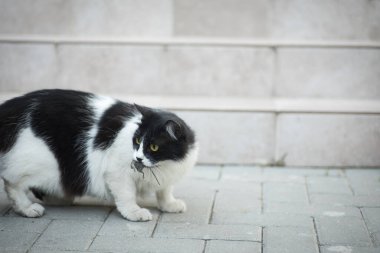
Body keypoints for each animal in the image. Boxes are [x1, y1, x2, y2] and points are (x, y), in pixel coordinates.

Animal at [0, 89, 200, 221]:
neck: (162, 165)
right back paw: (27, 208)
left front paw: (169, 205)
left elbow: (164, 191)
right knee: (13, 184)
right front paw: (134, 212)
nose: (137, 158)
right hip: (40, 164)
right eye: (137, 141)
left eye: (153, 147)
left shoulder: (167, 176)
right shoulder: (117, 173)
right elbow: (127, 195)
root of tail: (11, 106)